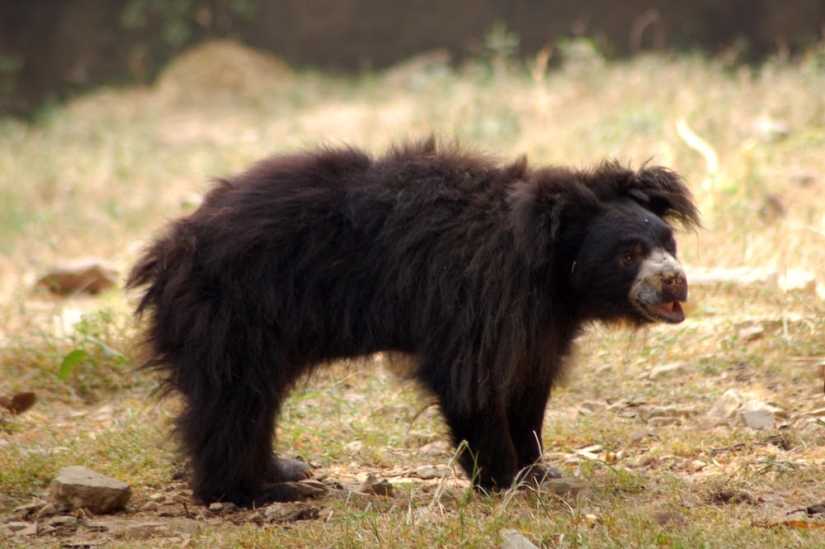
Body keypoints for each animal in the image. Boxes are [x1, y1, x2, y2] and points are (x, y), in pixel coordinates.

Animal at [127, 137, 700, 506]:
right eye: (628, 254)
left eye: (668, 244)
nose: (675, 281)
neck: (552, 270)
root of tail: (175, 243)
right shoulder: (478, 298)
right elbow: (473, 383)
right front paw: (503, 480)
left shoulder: (540, 324)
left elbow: (527, 389)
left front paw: (539, 470)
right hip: (236, 311)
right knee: (234, 398)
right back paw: (254, 491)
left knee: (254, 401)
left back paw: (282, 469)